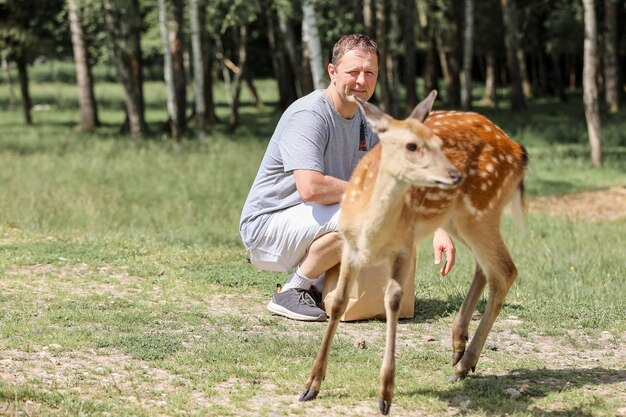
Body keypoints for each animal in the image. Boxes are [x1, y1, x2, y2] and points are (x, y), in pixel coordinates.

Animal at [298, 90, 528, 412]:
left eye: (437, 143)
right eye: (411, 145)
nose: (453, 174)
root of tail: (518, 150)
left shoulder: (405, 246)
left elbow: (393, 300)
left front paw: (385, 395)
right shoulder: (349, 246)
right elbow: (339, 302)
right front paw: (311, 385)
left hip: (481, 209)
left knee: (505, 270)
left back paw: (463, 364)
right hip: (459, 217)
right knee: (486, 268)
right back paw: (458, 349)